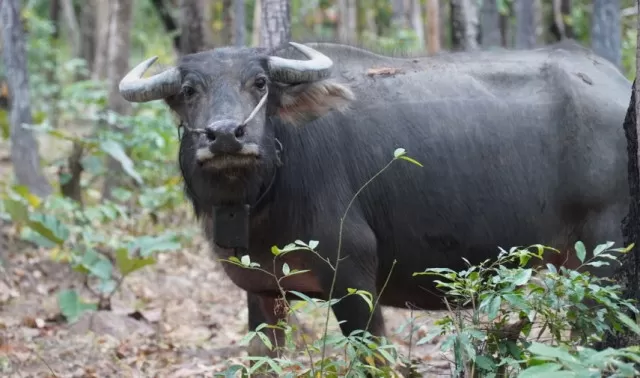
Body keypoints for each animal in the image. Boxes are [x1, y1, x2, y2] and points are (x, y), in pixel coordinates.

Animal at [117, 40, 632, 360]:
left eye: (259, 82)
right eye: (189, 90)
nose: (226, 134)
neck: (263, 195)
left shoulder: (353, 280)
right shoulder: (263, 292)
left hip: (607, 258)